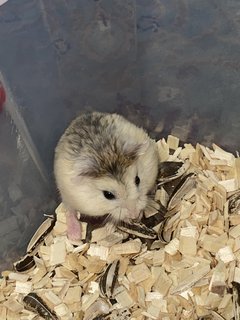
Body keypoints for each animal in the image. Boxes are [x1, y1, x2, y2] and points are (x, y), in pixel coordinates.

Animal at [54, 112, 159, 240]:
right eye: (108, 195)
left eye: (138, 180)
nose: (134, 215)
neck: (107, 157)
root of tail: (80, 117)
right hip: (65, 194)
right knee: (69, 209)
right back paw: (75, 235)